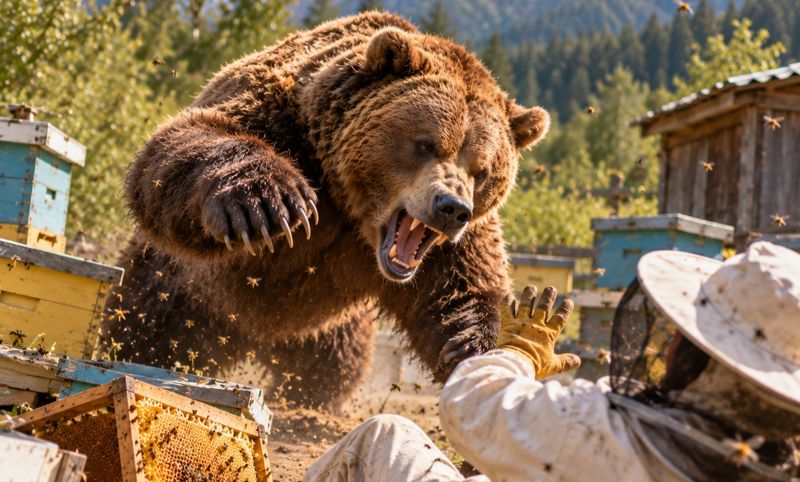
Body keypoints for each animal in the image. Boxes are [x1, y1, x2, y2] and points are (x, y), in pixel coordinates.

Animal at [105, 11, 549, 409]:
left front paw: (477, 346)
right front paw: (269, 201)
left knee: (330, 371)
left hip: (330, 332)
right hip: (178, 291)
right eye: (426, 143)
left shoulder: (454, 246)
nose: (451, 208)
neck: (353, 206)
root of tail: (252, 344)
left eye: (482, 170)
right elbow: (178, 146)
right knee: (146, 329)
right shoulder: (284, 119)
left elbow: (465, 288)